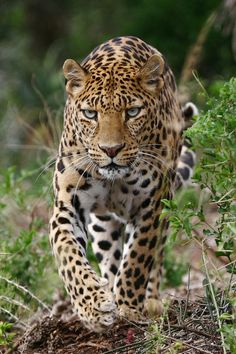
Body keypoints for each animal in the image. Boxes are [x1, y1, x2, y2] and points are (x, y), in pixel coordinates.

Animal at [49, 37, 197, 334]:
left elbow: (138, 259)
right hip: (102, 223)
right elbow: (68, 253)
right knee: (110, 256)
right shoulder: (67, 205)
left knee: (156, 257)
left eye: (132, 112)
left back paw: (149, 302)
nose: (111, 150)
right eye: (90, 114)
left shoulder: (153, 205)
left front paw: (129, 307)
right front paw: (94, 306)